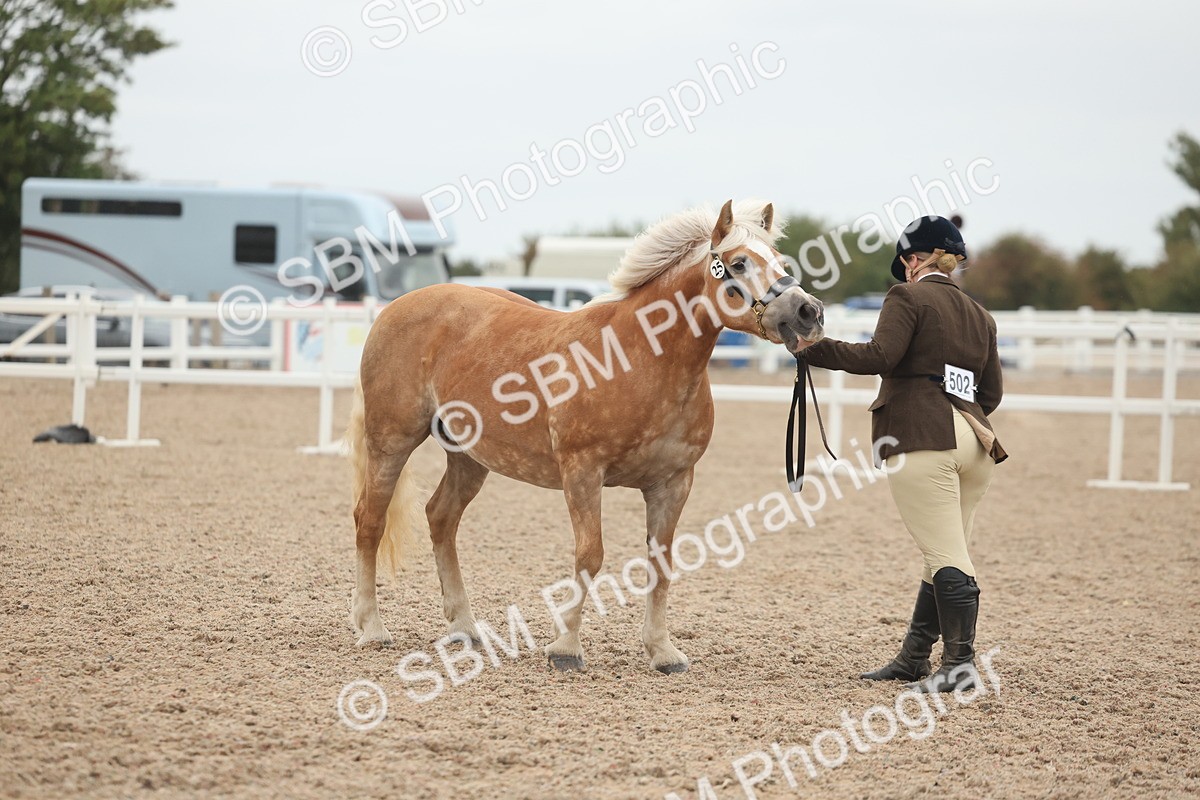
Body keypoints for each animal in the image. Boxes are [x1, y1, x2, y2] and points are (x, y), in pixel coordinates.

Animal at [347, 199, 825, 673]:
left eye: (781, 262)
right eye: (738, 263)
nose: (809, 313)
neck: (639, 359)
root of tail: (393, 309)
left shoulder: (674, 482)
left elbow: (661, 561)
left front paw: (662, 650)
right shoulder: (582, 472)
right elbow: (590, 555)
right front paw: (566, 647)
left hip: (468, 456)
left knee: (441, 518)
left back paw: (464, 627)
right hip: (391, 440)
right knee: (369, 520)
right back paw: (371, 627)